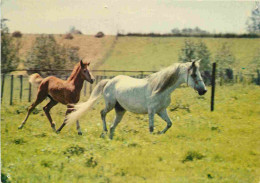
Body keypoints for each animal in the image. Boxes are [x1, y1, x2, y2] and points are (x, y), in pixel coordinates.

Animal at [66, 60, 207, 139]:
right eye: (194, 74)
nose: (204, 90)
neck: (159, 88)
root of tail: (109, 81)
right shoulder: (152, 111)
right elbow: (151, 128)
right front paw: (153, 138)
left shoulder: (161, 110)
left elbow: (169, 123)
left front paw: (159, 134)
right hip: (110, 104)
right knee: (102, 113)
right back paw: (104, 132)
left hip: (120, 110)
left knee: (113, 126)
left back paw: (110, 138)